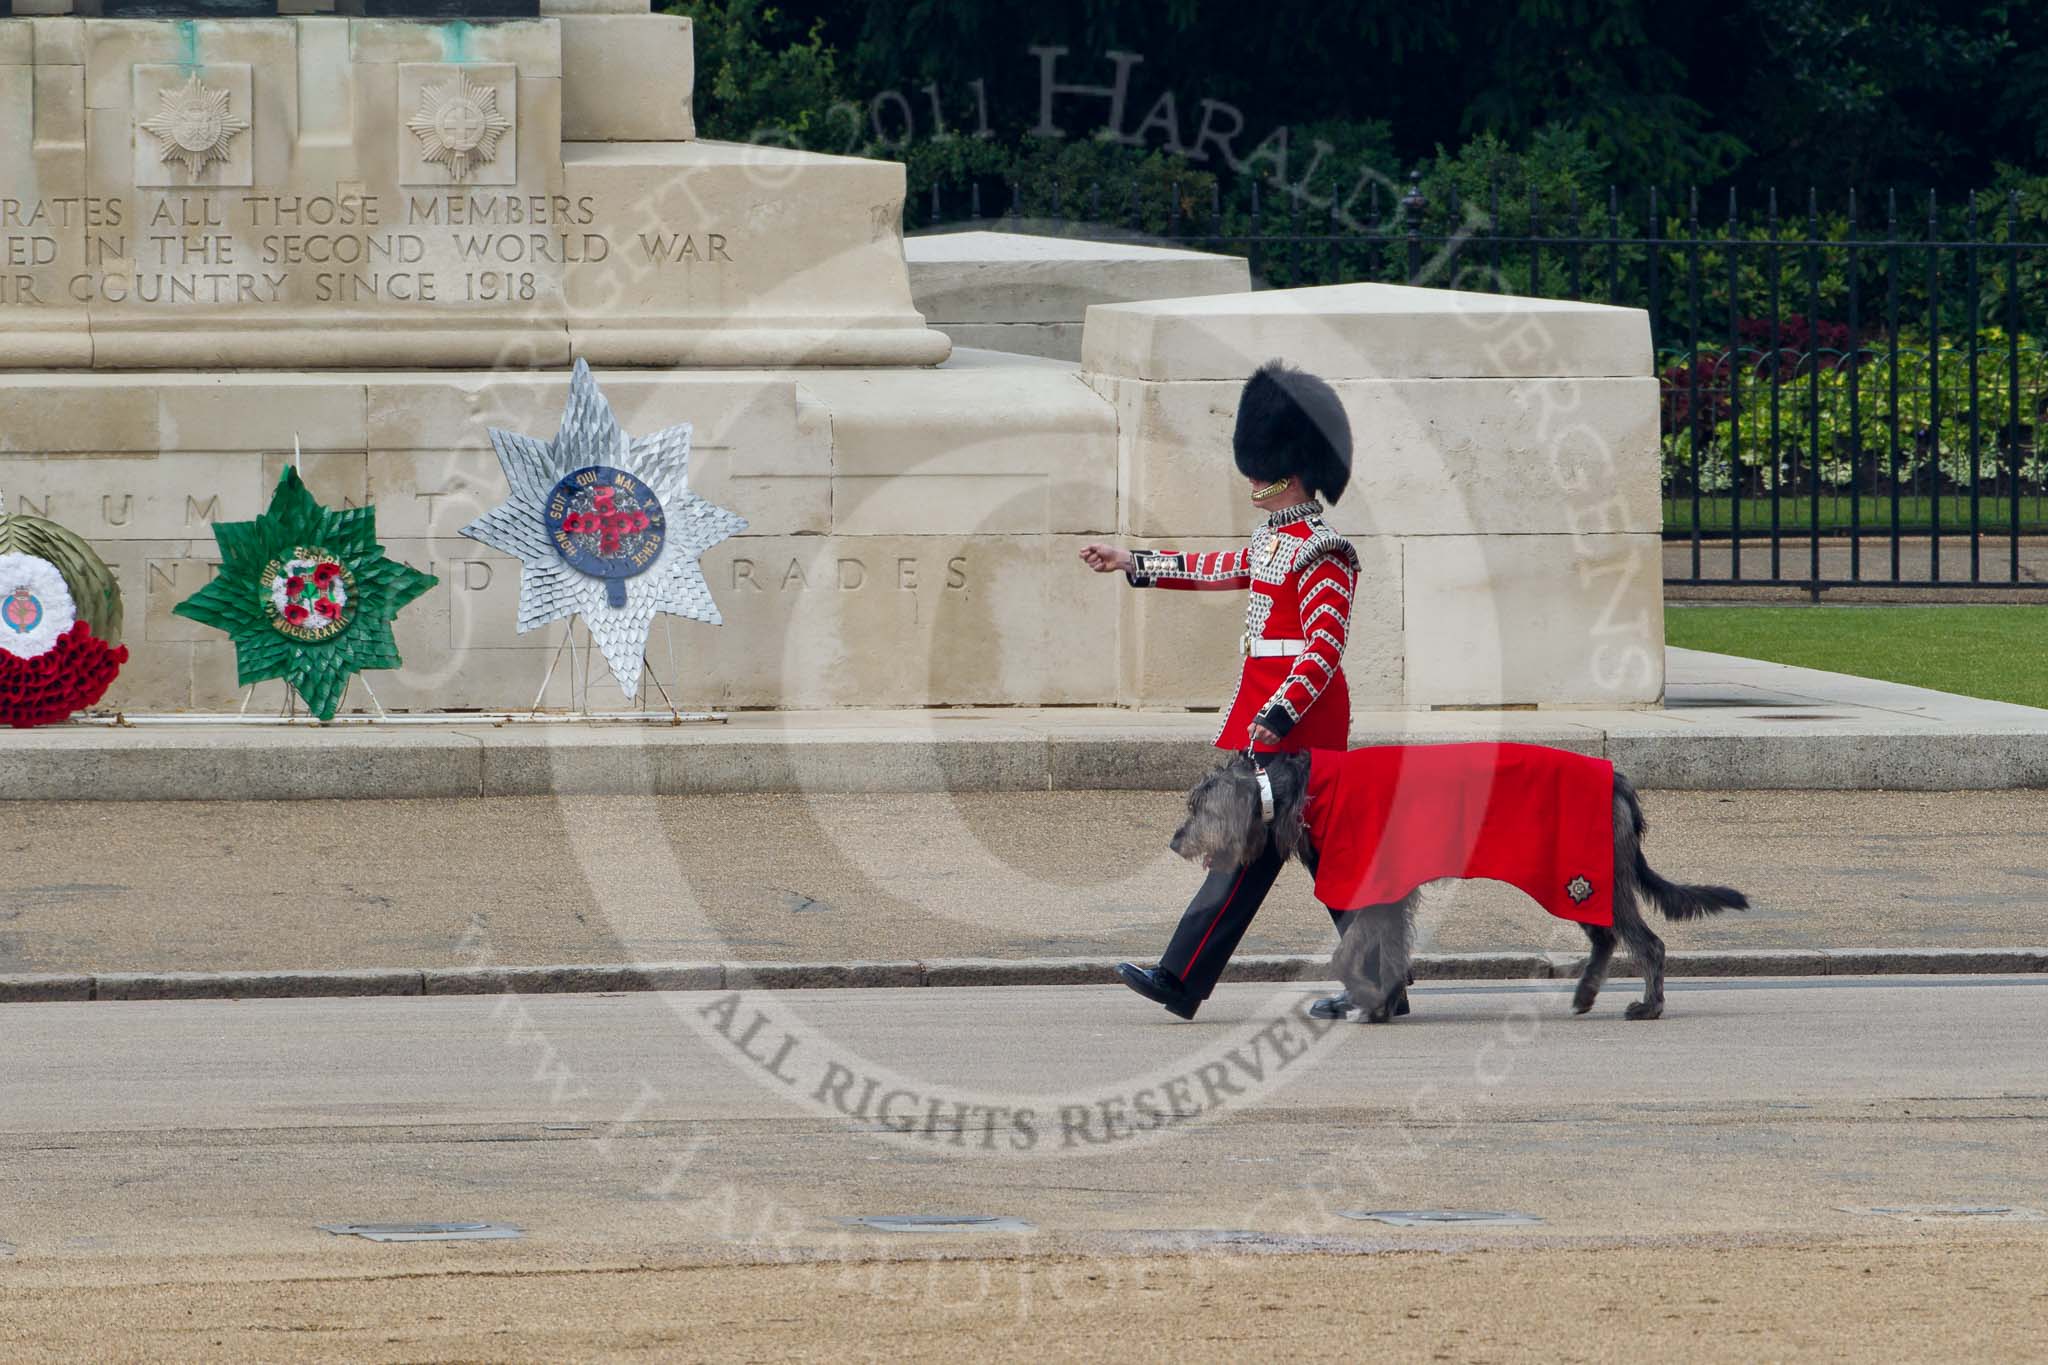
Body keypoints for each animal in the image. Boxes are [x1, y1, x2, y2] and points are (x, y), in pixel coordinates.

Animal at [1171, 753, 1744, 1019]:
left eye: (1198, 807)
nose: (1175, 842)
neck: (1297, 789)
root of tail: (1620, 782)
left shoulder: (1378, 883)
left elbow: (1352, 950)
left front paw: (1371, 1001)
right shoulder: (1390, 891)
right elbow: (1387, 946)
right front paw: (1383, 1003)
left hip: (1589, 877)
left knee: (1647, 942)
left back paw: (1648, 1005)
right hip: (1577, 881)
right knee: (1605, 936)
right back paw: (1585, 994)